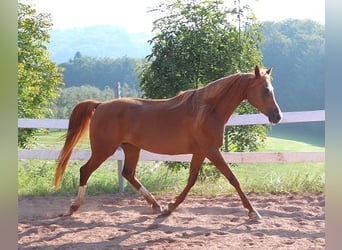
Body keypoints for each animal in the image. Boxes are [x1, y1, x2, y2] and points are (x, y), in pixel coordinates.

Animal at [54, 66, 282, 219]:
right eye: (265, 90)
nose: (277, 116)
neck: (207, 110)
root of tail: (100, 105)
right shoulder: (211, 150)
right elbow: (233, 178)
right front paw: (253, 212)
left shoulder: (201, 152)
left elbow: (191, 179)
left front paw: (170, 206)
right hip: (104, 149)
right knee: (85, 170)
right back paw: (73, 207)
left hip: (131, 148)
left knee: (128, 173)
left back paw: (156, 205)